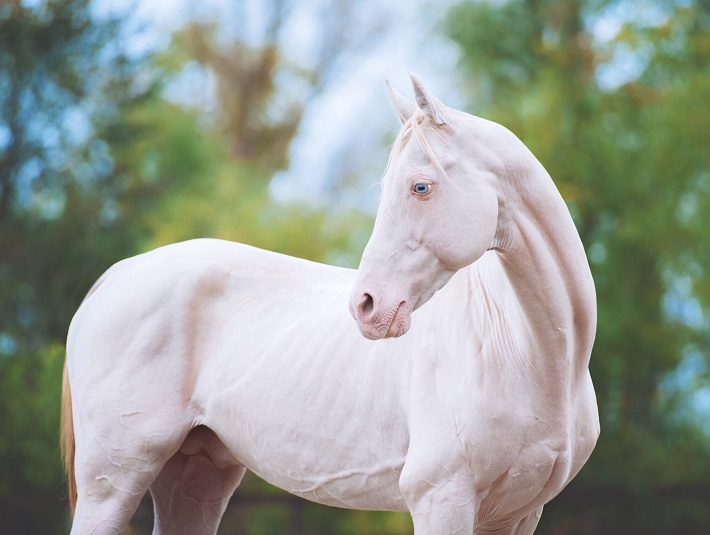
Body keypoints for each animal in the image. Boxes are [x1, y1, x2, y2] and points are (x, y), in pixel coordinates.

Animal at [61, 75, 600, 535]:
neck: (525, 352)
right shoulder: (441, 500)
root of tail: (116, 276)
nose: (366, 305)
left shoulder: (518, 514)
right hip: (112, 482)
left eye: (420, 186)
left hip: (194, 477)